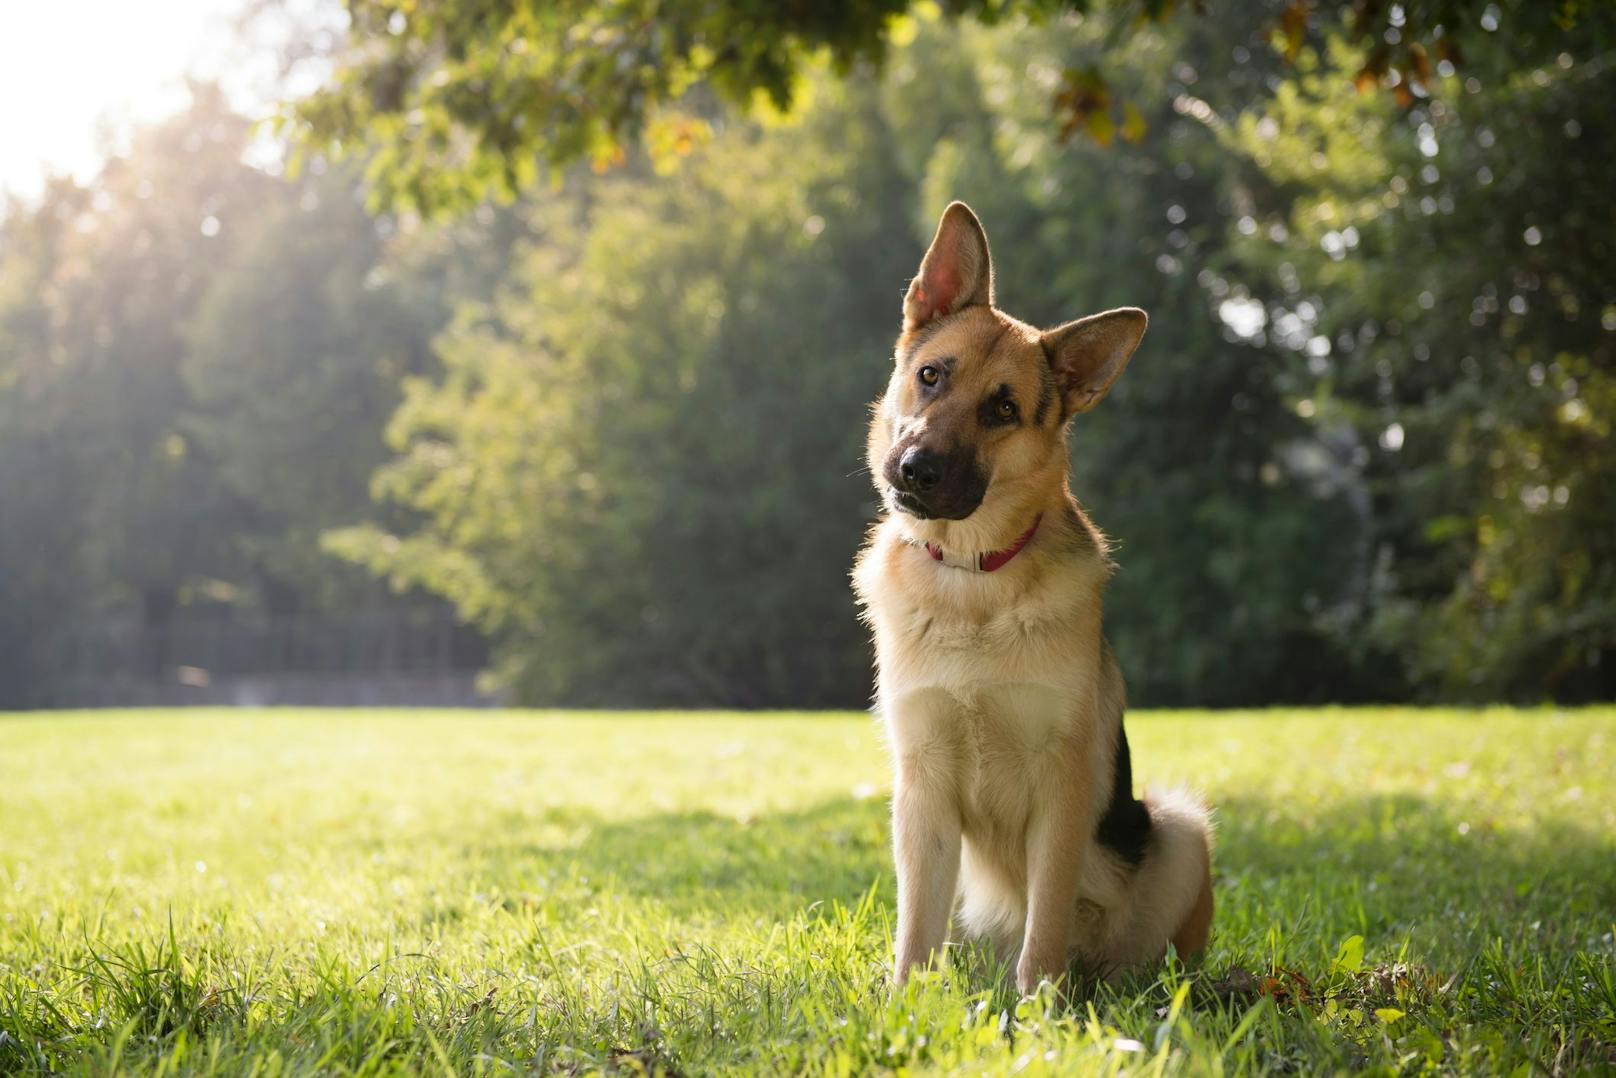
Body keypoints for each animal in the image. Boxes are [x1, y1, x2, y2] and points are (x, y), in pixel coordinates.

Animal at [859, 200, 1215, 995]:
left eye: (1003, 409)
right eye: (931, 375)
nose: (916, 469)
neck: (973, 578)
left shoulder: (1062, 786)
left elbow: (1044, 922)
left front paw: (1040, 1009)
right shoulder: (922, 790)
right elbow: (914, 932)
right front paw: (903, 1005)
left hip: (1179, 829)